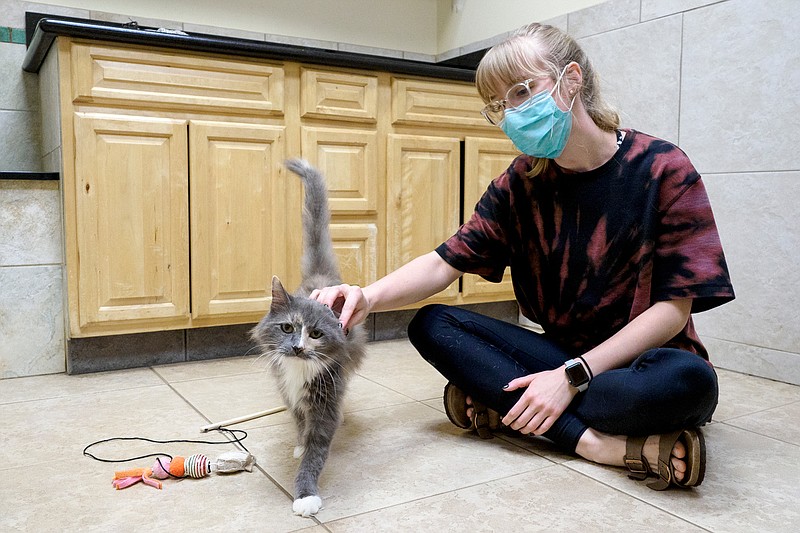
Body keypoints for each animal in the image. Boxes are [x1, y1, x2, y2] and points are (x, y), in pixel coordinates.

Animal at [252, 158, 368, 516]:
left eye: (315, 334)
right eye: (287, 328)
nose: (298, 347)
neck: (299, 371)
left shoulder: (326, 399)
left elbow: (317, 452)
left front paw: (305, 495)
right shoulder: (289, 392)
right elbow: (300, 424)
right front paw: (300, 445)